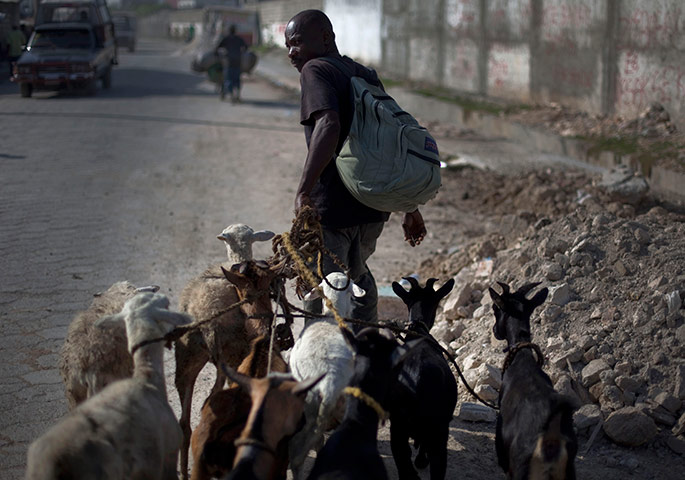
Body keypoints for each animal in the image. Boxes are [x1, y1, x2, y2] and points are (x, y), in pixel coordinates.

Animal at [490, 282, 578, 480]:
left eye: (495, 309)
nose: (494, 331)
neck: (521, 358)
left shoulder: (503, 457)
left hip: (520, 468)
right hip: (568, 471)